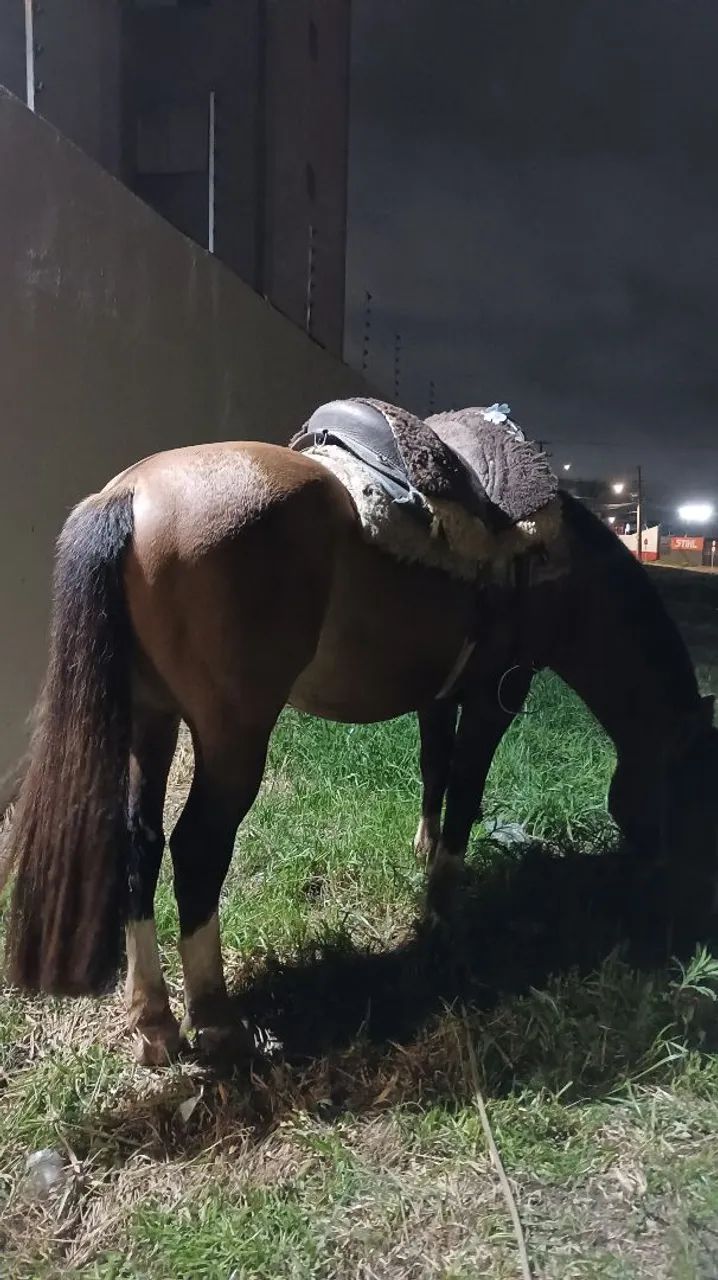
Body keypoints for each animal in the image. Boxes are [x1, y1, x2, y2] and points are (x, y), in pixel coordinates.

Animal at [3, 430, 717, 1065]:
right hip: (232, 738)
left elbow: (435, 772)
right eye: (694, 791)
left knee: (141, 843)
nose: (680, 883)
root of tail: (127, 493)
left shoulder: (441, 696)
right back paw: (216, 1021)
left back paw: (154, 1021)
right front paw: (442, 914)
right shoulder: (497, 696)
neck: (561, 571)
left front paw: (424, 853)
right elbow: (466, 794)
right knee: (198, 849)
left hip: (152, 720)